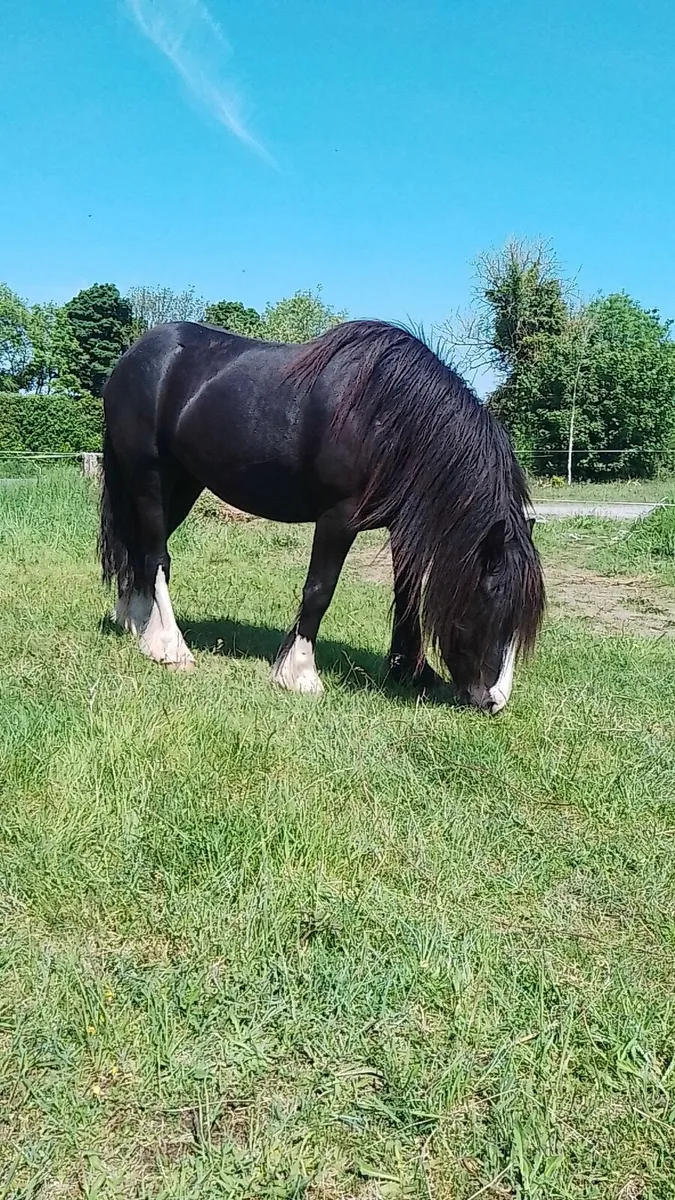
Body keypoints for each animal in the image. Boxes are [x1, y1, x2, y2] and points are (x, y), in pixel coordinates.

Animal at [99, 319, 545, 713]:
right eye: (491, 606)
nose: (494, 702)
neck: (390, 420)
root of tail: (134, 356)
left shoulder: (402, 528)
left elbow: (407, 595)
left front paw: (410, 672)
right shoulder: (337, 518)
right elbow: (319, 590)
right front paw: (299, 675)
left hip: (183, 484)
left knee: (137, 549)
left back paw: (137, 624)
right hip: (149, 477)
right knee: (157, 556)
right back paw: (170, 647)